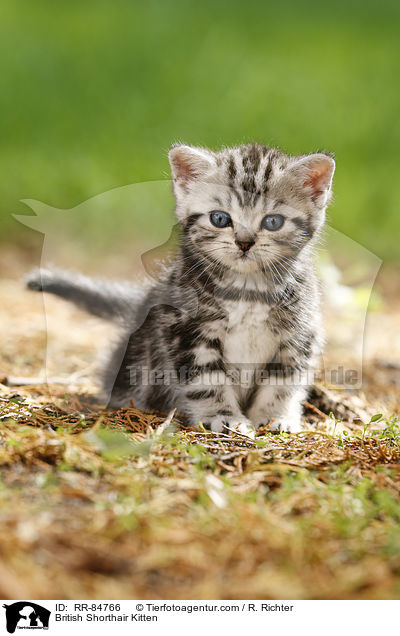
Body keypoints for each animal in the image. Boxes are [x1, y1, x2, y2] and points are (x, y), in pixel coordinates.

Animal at [26, 143, 336, 432]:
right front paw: (223, 418)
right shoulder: (187, 331)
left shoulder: (298, 334)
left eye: (273, 221)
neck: (247, 291)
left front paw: (276, 417)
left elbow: (283, 382)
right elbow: (206, 380)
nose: (244, 242)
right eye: (220, 218)